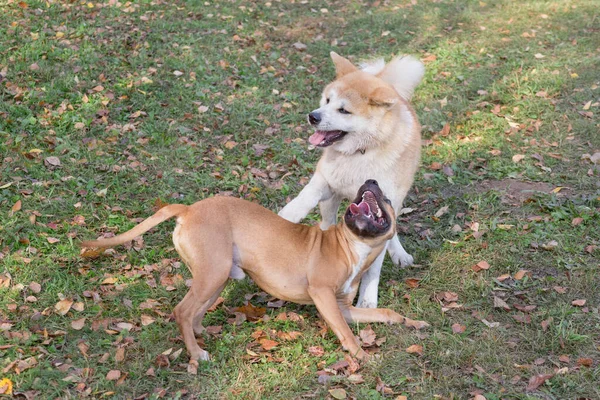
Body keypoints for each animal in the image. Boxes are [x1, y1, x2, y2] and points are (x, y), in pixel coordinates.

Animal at [82, 181, 428, 362]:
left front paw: (414, 322)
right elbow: (345, 333)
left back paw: (202, 333)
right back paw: (196, 353)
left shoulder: (345, 308)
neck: (352, 246)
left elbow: (386, 313)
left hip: (216, 276)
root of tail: (188, 209)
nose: (370, 181)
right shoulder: (323, 296)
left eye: (386, 197)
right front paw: (361, 355)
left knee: (195, 312)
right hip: (214, 272)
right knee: (182, 311)